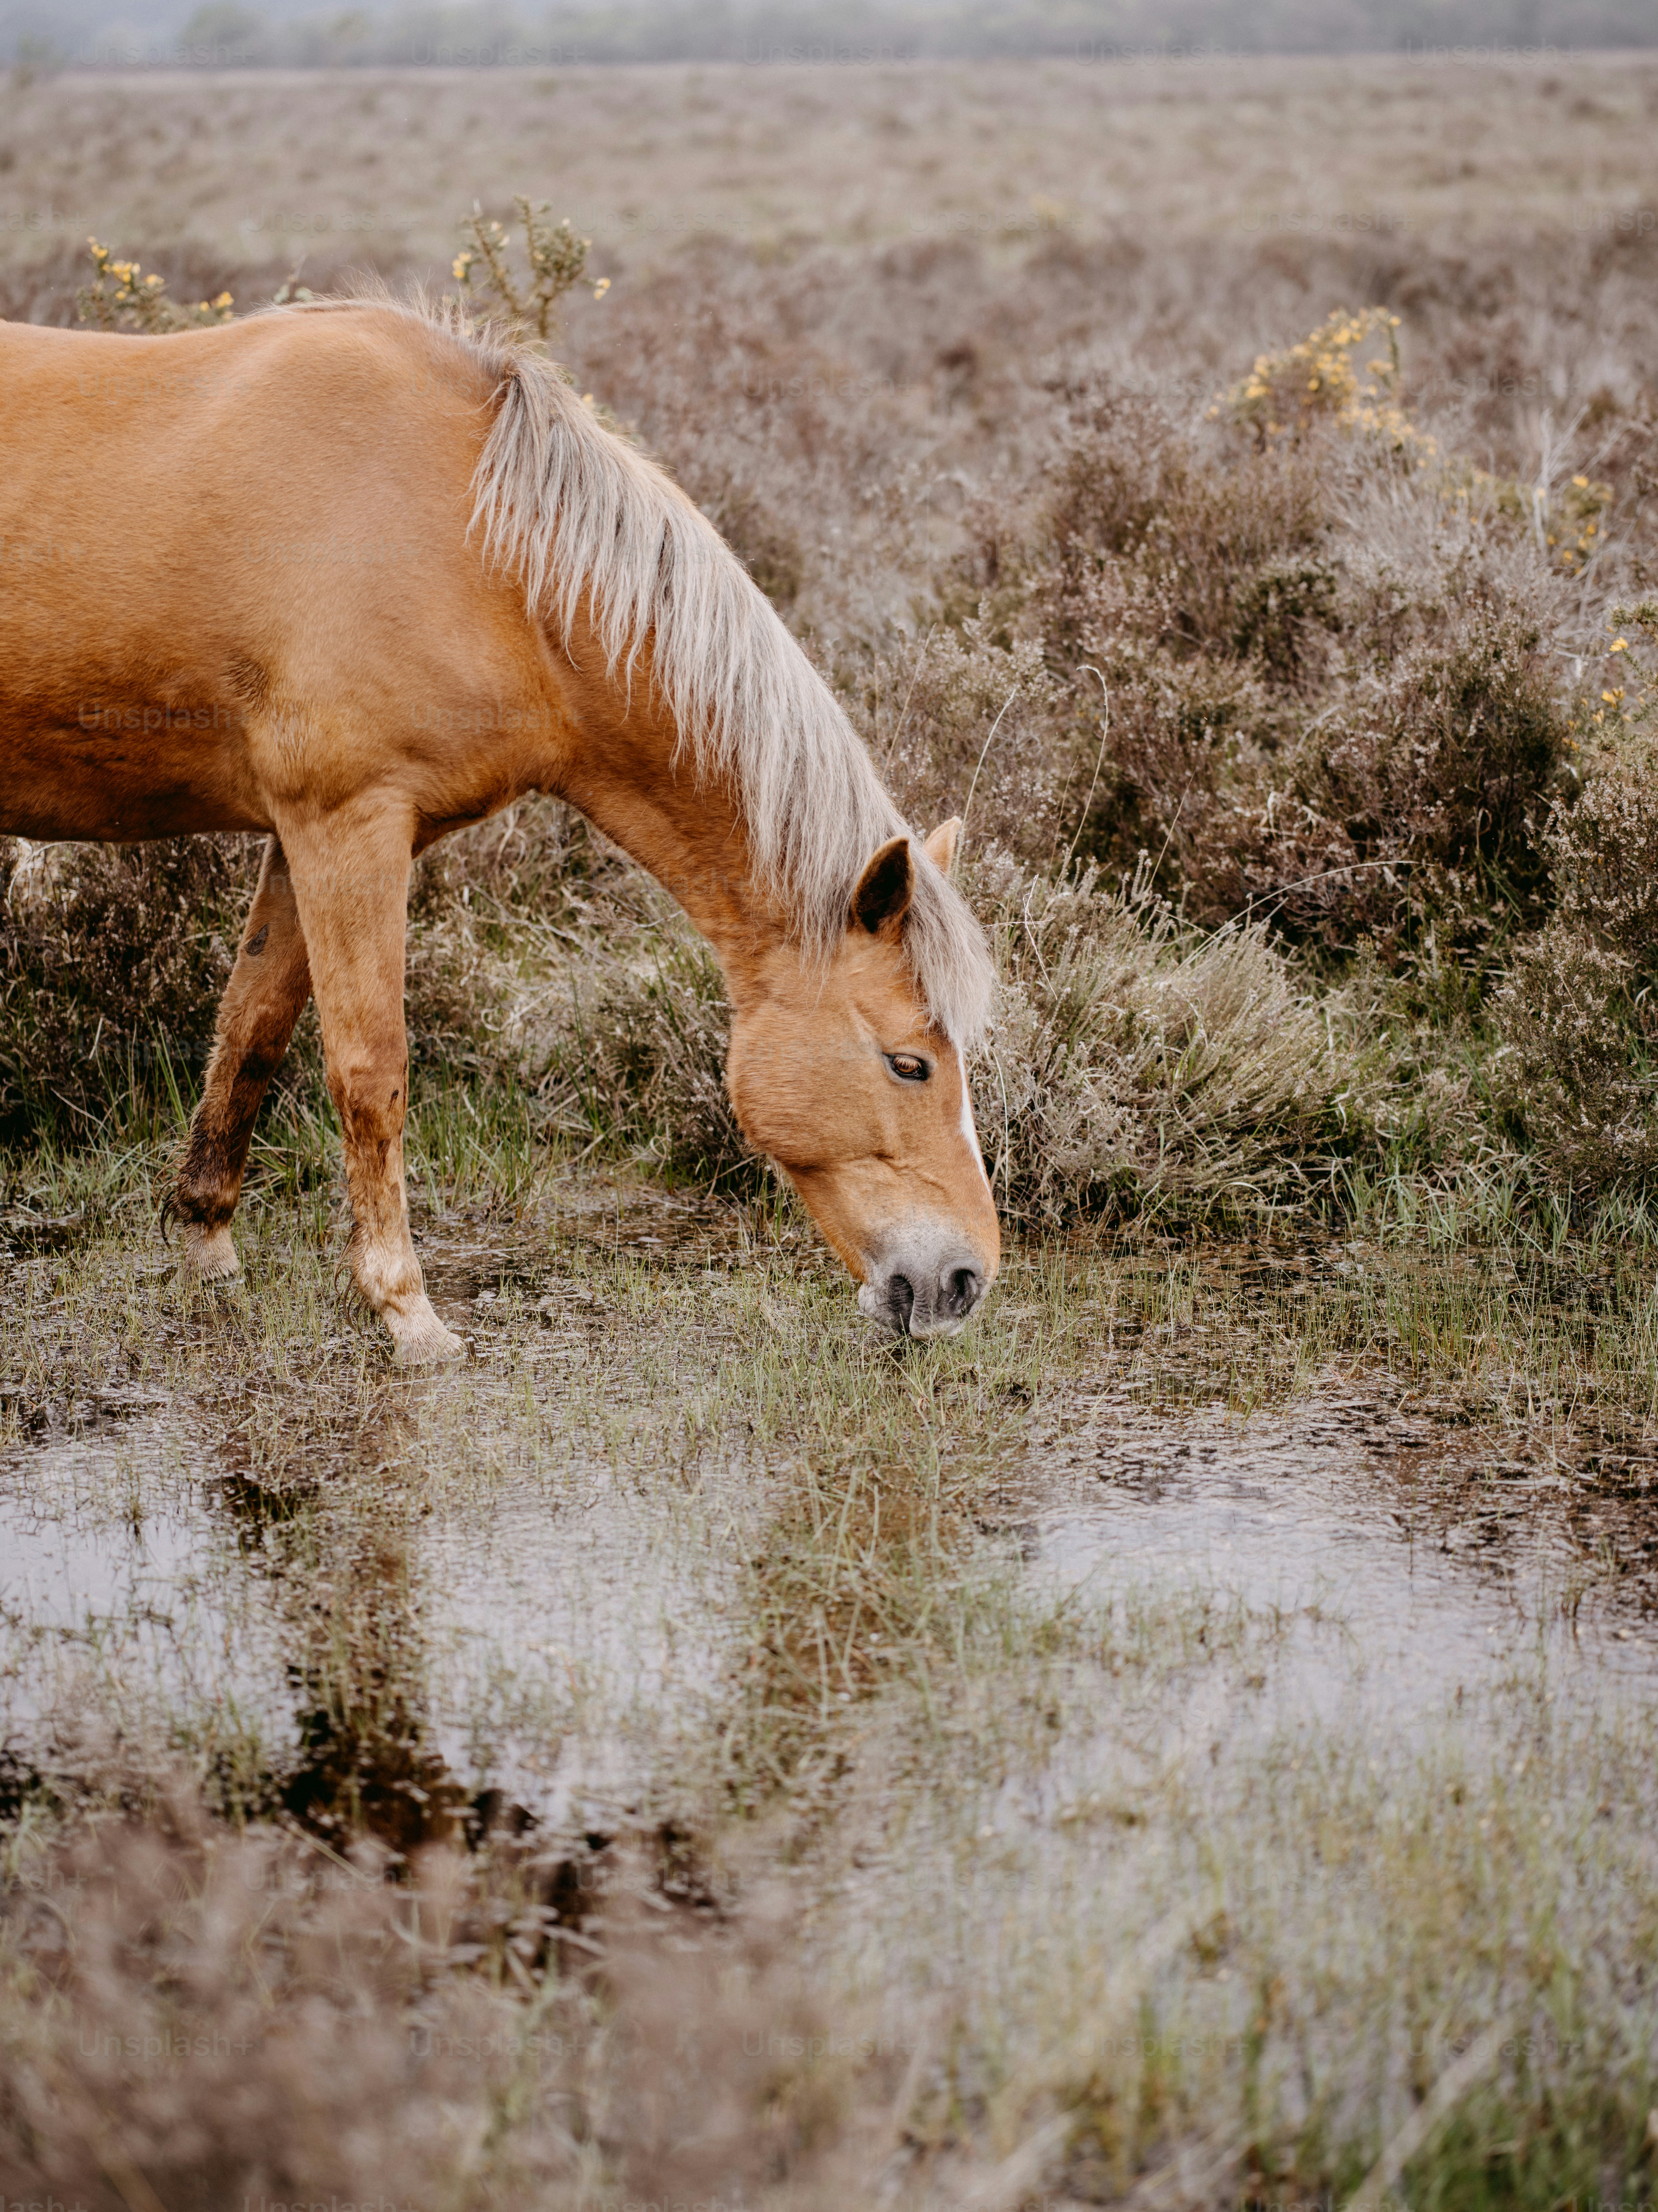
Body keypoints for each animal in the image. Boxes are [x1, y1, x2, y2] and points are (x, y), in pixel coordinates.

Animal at [0, 296, 999, 1361]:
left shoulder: (304, 839)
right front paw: (406, 1311)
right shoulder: (349, 823)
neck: (489, 553)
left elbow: (251, 1032)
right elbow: (371, 1067)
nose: (964, 1281)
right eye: (909, 1062)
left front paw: (206, 1243)